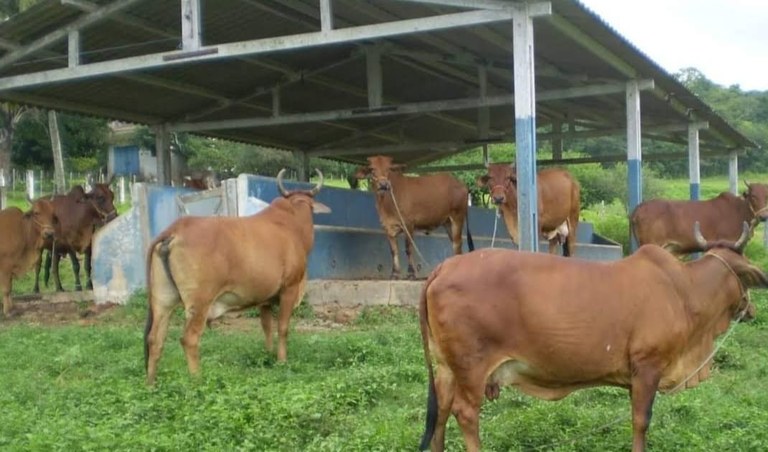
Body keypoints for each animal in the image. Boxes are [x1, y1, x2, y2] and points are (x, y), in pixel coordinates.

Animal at [144, 168, 330, 384]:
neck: (291, 223)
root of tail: (175, 229)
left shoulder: (264, 299)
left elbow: (266, 327)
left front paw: (268, 354)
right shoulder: (289, 289)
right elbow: (282, 327)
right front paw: (282, 361)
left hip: (163, 301)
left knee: (154, 339)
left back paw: (151, 384)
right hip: (200, 302)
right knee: (189, 339)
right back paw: (197, 381)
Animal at [416, 222, 764, 452]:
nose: (751, 310)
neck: (684, 290)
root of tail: (444, 267)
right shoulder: (648, 366)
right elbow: (641, 420)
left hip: (446, 368)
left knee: (441, 414)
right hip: (472, 367)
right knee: (465, 413)